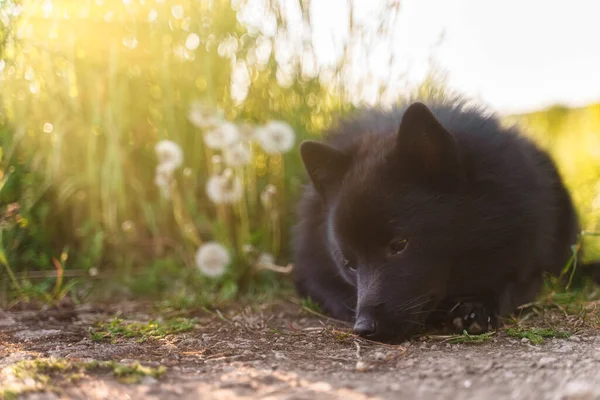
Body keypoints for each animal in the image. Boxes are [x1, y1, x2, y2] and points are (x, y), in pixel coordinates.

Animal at [292, 98, 596, 342]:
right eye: (349, 264)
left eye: (400, 244)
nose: (364, 328)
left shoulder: (526, 260)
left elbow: (508, 285)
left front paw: (477, 307)